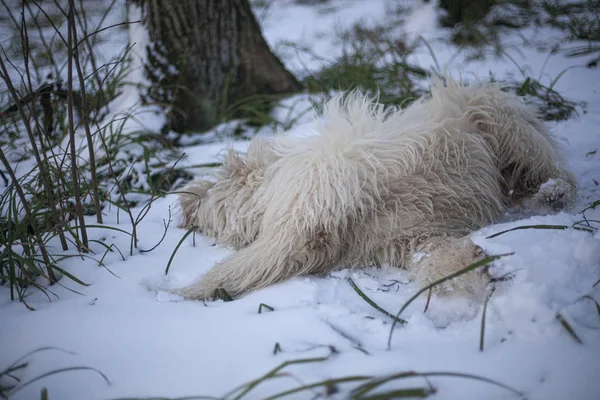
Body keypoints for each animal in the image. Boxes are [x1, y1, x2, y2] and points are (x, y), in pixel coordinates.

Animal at [175, 77, 576, 300]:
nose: (183, 203)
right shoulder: (410, 238)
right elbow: (436, 258)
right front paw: (469, 272)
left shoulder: (324, 179)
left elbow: (250, 258)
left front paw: (180, 291)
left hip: (496, 116)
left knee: (553, 169)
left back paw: (553, 192)